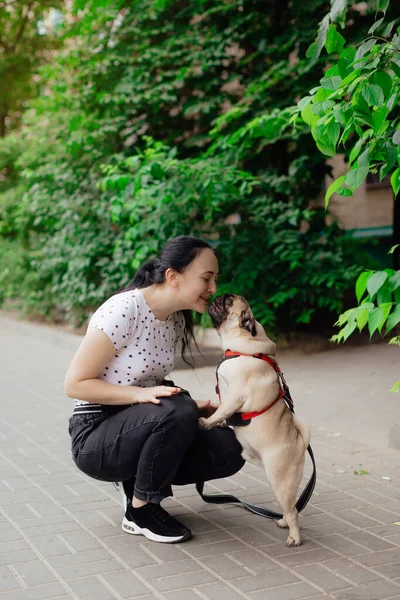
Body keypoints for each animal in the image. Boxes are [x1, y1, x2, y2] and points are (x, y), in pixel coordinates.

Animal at [199, 296, 310, 548]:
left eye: (228, 301)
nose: (218, 296)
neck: (243, 345)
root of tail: (299, 442)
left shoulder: (235, 395)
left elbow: (221, 411)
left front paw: (207, 422)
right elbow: (222, 411)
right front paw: (218, 423)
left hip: (280, 481)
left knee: (293, 511)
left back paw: (294, 537)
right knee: (290, 508)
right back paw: (283, 523)